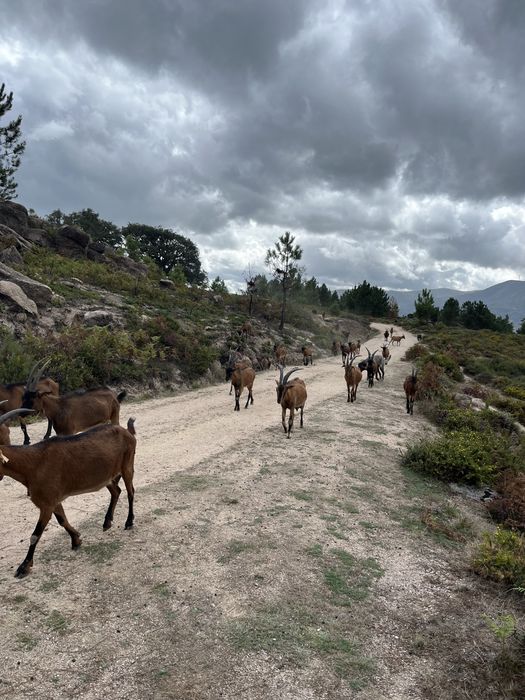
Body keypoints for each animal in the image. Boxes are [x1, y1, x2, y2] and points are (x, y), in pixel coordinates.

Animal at [0, 408, 136, 577]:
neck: (33, 465)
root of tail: (127, 432)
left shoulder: (47, 504)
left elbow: (35, 535)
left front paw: (24, 567)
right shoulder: (53, 500)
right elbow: (62, 520)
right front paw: (76, 540)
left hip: (127, 465)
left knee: (130, 492)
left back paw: (129, 522)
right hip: (107, 476)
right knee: (116, 491)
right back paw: (107, 522)